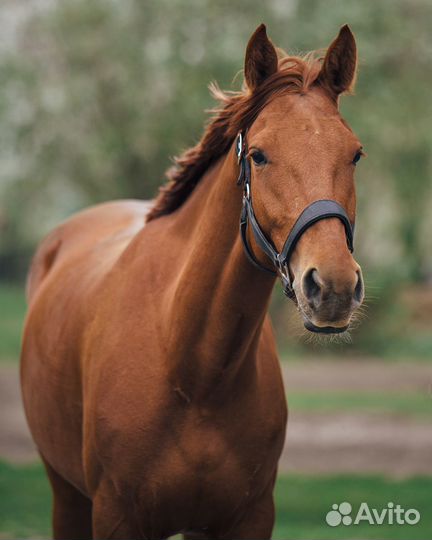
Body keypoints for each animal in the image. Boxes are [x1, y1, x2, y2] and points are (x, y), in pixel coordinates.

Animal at [21, 25, 364, 540]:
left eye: (355, 154)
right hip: (66, 494)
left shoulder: (248, 518)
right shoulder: (115, 516)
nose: (334, 287)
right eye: (259, 155)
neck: (195, 372)